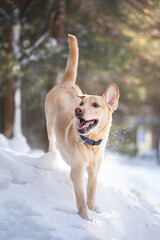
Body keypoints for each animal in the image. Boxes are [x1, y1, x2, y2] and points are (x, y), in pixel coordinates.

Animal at [44, 34, 119, 220]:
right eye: (81, 104)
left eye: (95, 105)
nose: (77, 110)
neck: (91, 144)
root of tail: (66, 82)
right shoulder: (77, 173)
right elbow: (81, 200)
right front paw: (86, 219)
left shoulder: (93, 174)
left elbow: (90, 196)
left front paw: (95, 211)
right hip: (50, 126)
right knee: (52, 145)